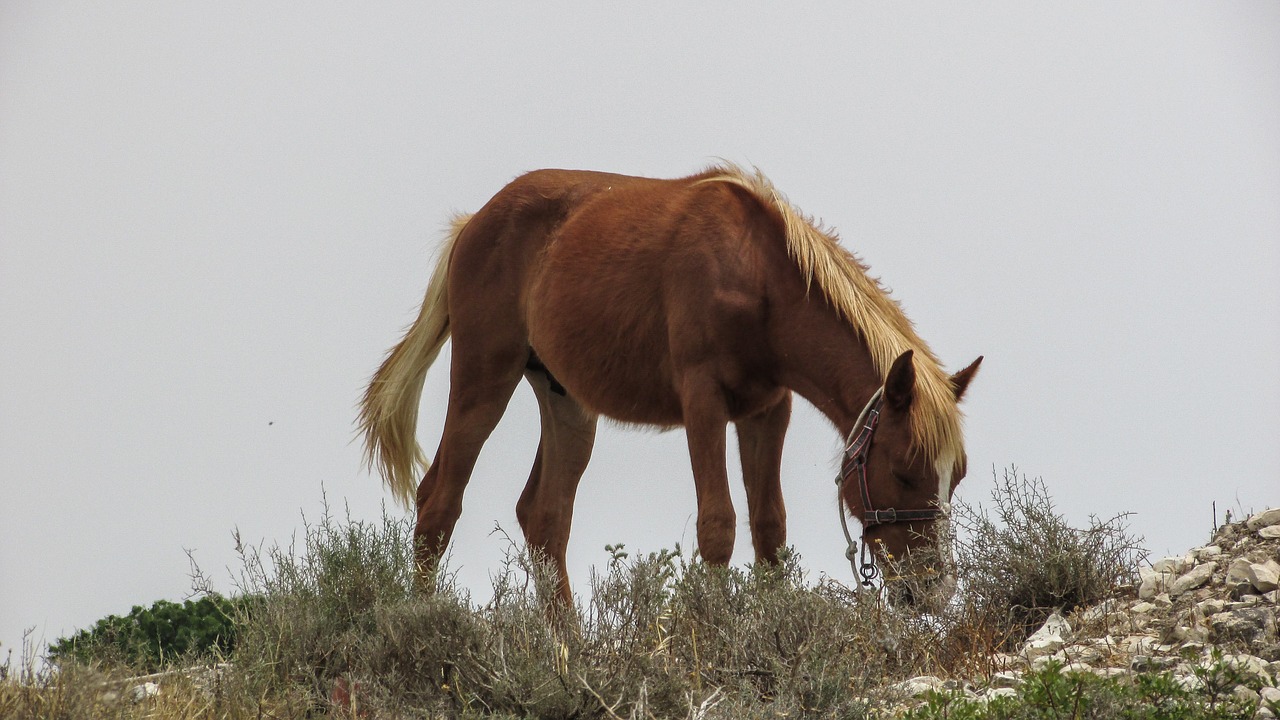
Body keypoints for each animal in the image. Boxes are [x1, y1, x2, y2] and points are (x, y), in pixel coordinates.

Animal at [360, 162, 977, 604]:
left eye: (957, 477)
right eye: (904, 471)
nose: (934, 590)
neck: (757, 274)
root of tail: (473, 224)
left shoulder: (766, 410)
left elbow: (769, 529)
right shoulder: (703, 402)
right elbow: (718, 527)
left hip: (567, 404)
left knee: (544, 519)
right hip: (485, 376)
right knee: (439, 504)